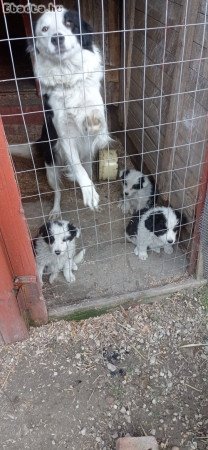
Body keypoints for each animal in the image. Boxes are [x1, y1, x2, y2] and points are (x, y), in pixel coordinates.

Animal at [10, 7, 111, 216]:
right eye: (44, 29)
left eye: (69, 23)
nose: (57, 38)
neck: (68, 74)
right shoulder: (64, 136)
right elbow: (77, 168)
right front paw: (88, 192)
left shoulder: (99, 129)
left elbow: (97, 122)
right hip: (51, 167)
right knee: (58, 191)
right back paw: (56, 210)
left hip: (88, 159)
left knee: (88, 170)